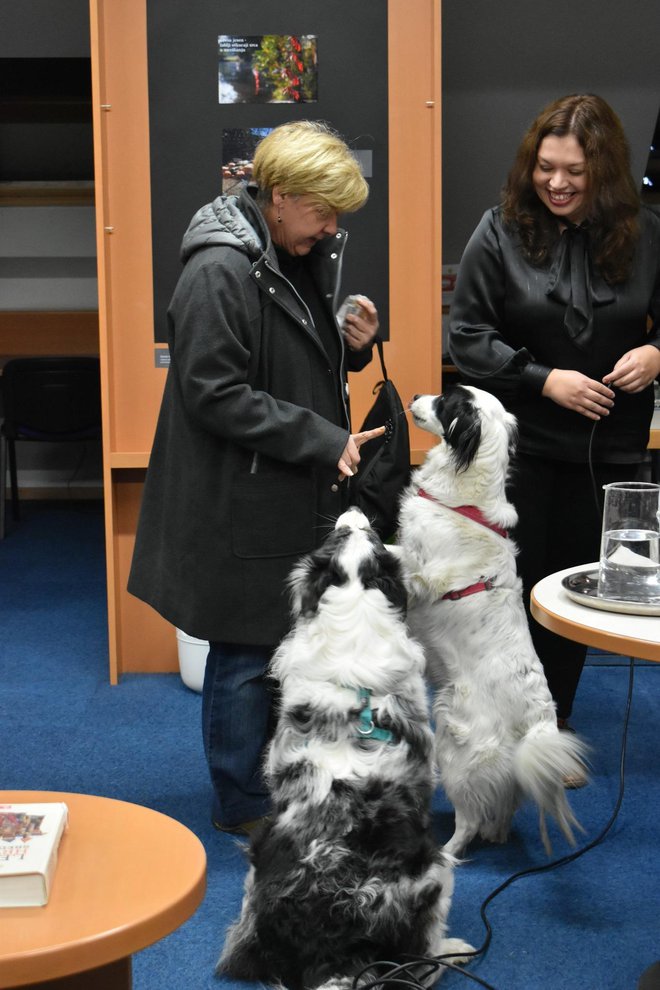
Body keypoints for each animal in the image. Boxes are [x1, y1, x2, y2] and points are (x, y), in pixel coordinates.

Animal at [219, 508, 472, 988]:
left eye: (363, 533)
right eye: (349, 533)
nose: (354, 511)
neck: (356, 603)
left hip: (251, 894)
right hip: (436, 872)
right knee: (422, 957)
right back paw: (456, 950)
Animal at [398, 388, 588, 860]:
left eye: (446, 401)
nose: (415, 394)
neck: (465, 501)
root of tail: (539, 721)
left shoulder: (417, 574)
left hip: (454, 748)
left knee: (469, 819)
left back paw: (447, 851)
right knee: (499, 807)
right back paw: (496, 833)